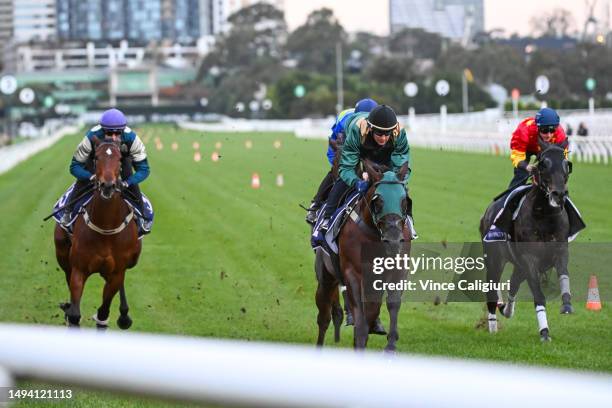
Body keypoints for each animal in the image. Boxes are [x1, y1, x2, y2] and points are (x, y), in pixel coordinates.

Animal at [54, 139, 142, 330]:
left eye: (119, 159)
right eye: (96, 157)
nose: (107, 185)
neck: (106, 227)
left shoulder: (117, 272)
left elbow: (103, 313)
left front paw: (118, 316)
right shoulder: (79, 269)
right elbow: (74, 314)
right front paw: (70, 310)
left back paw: (124, 314)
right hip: (62, 253)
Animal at [316, 161, 412, 352]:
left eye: (404, 201)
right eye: (378, 201)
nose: (393, 240)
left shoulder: (397, 272)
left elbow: (392, 304)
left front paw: (390, 345)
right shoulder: (353, 273)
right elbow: (360, 320)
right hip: (326, 276)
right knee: (323, 317)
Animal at [480, 140, 576, 342]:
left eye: (566, 164)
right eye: (543, 163)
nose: (559, 194)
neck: (544, 216)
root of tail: (487, 213)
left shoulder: (560, 251)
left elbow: (564, 274)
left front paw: (566, 305)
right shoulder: (529, 258)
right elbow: (538, 296)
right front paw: (545, 332)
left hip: (518, 265)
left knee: (513, 284)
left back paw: (506, 309)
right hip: (494, 259)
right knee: (491, 289)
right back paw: (492, 326)